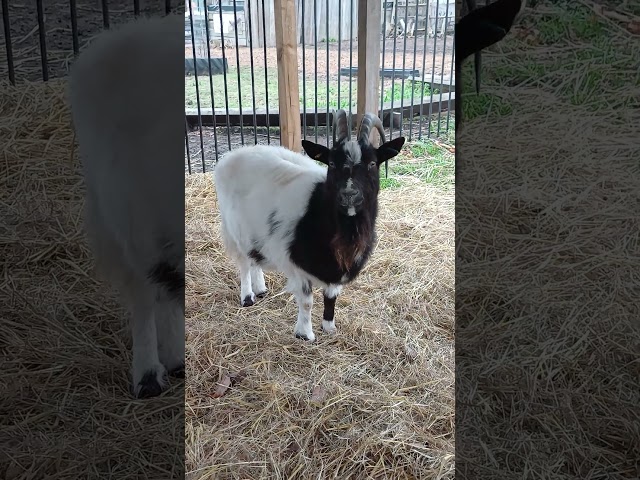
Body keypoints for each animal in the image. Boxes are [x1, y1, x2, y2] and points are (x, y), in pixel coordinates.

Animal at [215, 110, 404, 342]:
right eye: (331, 163)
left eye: (372, 164)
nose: (349, 194)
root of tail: (231, 155)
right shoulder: (297, 265)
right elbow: (306, 302)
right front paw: (305, 334)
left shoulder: (336, 268)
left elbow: (331, 297)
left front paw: (329, 327)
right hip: (233, 228)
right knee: (243, 263)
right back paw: (248, 296)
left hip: (255, 231)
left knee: (254, 258)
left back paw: (260, 289)